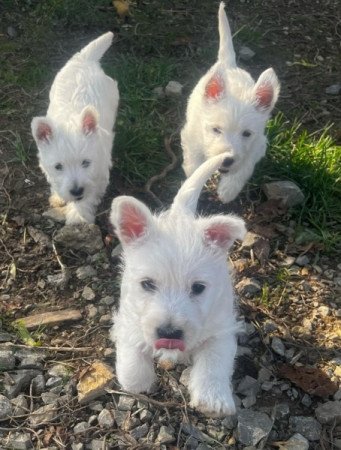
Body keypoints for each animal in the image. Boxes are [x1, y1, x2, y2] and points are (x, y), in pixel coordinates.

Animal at [30, 31, 118, 223]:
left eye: (85, 162)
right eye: (58, 166)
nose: (76, 190)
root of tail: (84, 59)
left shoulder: (98, 174)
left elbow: (87, 197)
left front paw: (78, 216)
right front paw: (58, 197)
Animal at [110, 153, 246, 416]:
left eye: (198, 288)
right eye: (147, 284)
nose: (169, 333)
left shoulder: (221, 330)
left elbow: (214, 361)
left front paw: (212, 399)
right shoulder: (130, 317)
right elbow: (133, 358)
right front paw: (138, 382)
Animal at [181, 2, 278, 203]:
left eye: (247, 134)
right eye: (216, 129)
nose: (227, 160)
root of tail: (229, 65)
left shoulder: (258, 145)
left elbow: (244, 167)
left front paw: (228, 190)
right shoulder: (191, 136)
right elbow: (193, 162)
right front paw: (194, 180)